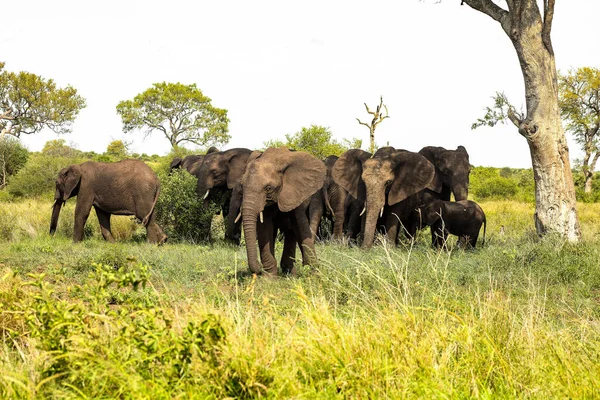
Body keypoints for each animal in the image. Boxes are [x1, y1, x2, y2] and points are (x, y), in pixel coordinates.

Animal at [240, 147, 328, 276]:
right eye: (242, 186)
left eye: (268, 188)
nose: (259, 268)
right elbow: (265, 228)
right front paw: (269, 277)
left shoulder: (295, 193)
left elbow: (300, 226)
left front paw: (314, 273)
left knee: (292, 231)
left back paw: (291, 272)